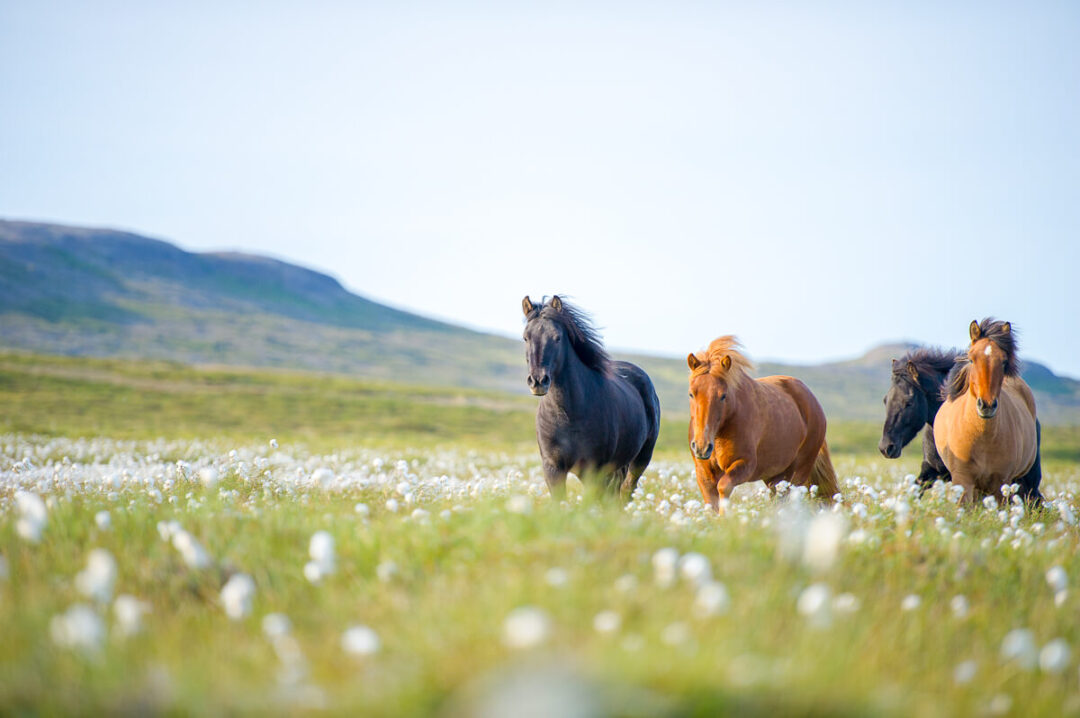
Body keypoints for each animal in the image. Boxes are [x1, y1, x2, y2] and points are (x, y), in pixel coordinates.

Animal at [522, 295, 661, 500]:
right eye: (526, 337)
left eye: (557, 337)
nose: (538, 381)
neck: (568, 414)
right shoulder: (553, 469)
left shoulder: (593, 470)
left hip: (640, 459)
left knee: (626, 491)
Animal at [687, 336, 838, 511]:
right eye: (691, 394)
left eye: (723, 395)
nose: (702, 446)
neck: (719, 434)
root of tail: (812, 399)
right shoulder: (704, 474)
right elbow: (711, 504)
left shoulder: (745, 464)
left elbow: (723, 487)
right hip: (777, 476)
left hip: (798, 471)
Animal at [933, 319, 1043, 505]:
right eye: (971, 360)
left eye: (1004, 362)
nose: (987, 405)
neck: (982, 435)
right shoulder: (963, 480)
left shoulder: (1001, 484)